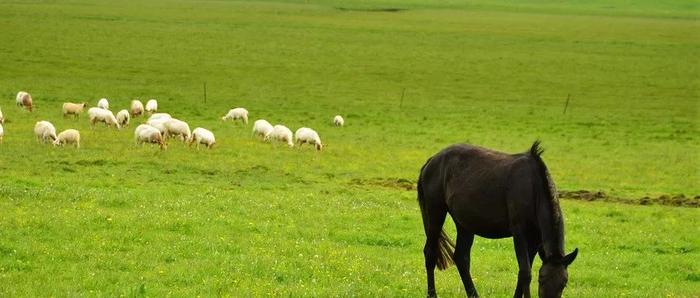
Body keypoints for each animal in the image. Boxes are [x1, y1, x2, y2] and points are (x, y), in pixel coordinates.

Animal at [418, 142, 576, 298]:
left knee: (461, 258)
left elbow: (526, 271)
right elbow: (525, 272)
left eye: (564, 283)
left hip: (465, 224)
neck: (533, 187)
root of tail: (431, 161)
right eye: (541, 279)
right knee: (430, 253)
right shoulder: (519, 233)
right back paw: (432, 294)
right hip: (436, 212)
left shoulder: (535, 239)